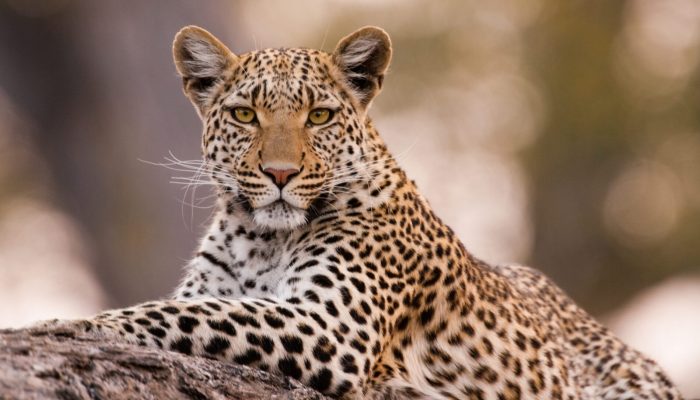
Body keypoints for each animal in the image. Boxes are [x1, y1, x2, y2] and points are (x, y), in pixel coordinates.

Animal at [30, 25, 682, 400]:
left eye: (319, 116)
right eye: (244, 115)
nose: (281, 175)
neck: (258, 239)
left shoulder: (332, 326)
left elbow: (182, 314)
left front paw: (62, 325)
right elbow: (193, 305)